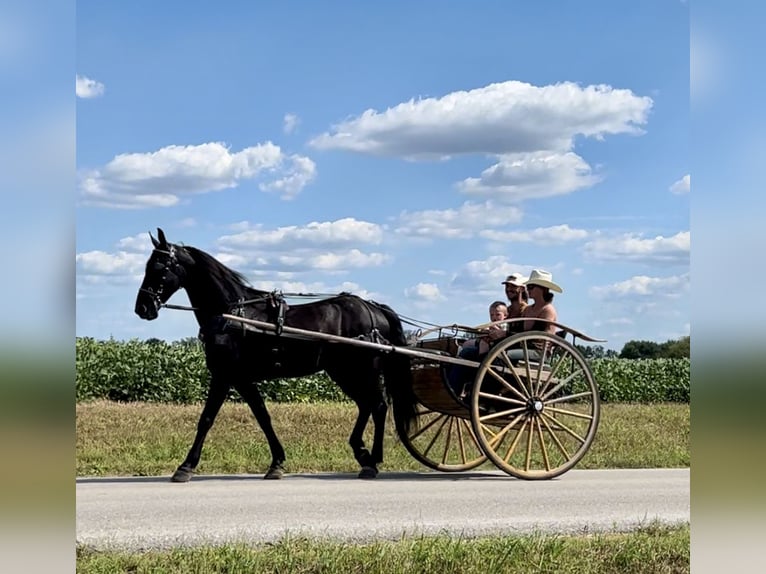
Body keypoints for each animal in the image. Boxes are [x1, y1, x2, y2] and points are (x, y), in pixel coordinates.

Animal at [135, 228, 416, 482]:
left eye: (158, 267)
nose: (142, 308)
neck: (233, 315)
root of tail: (374, 309)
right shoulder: (242, 379)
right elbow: (263, 416)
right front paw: (277, 463)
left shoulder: (224, 376)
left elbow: (206, 419)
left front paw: (185, 467)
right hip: (343, 371)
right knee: (367, 405)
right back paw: (363, 453)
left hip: (361, 370)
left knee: (377, 405)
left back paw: (372, 460)